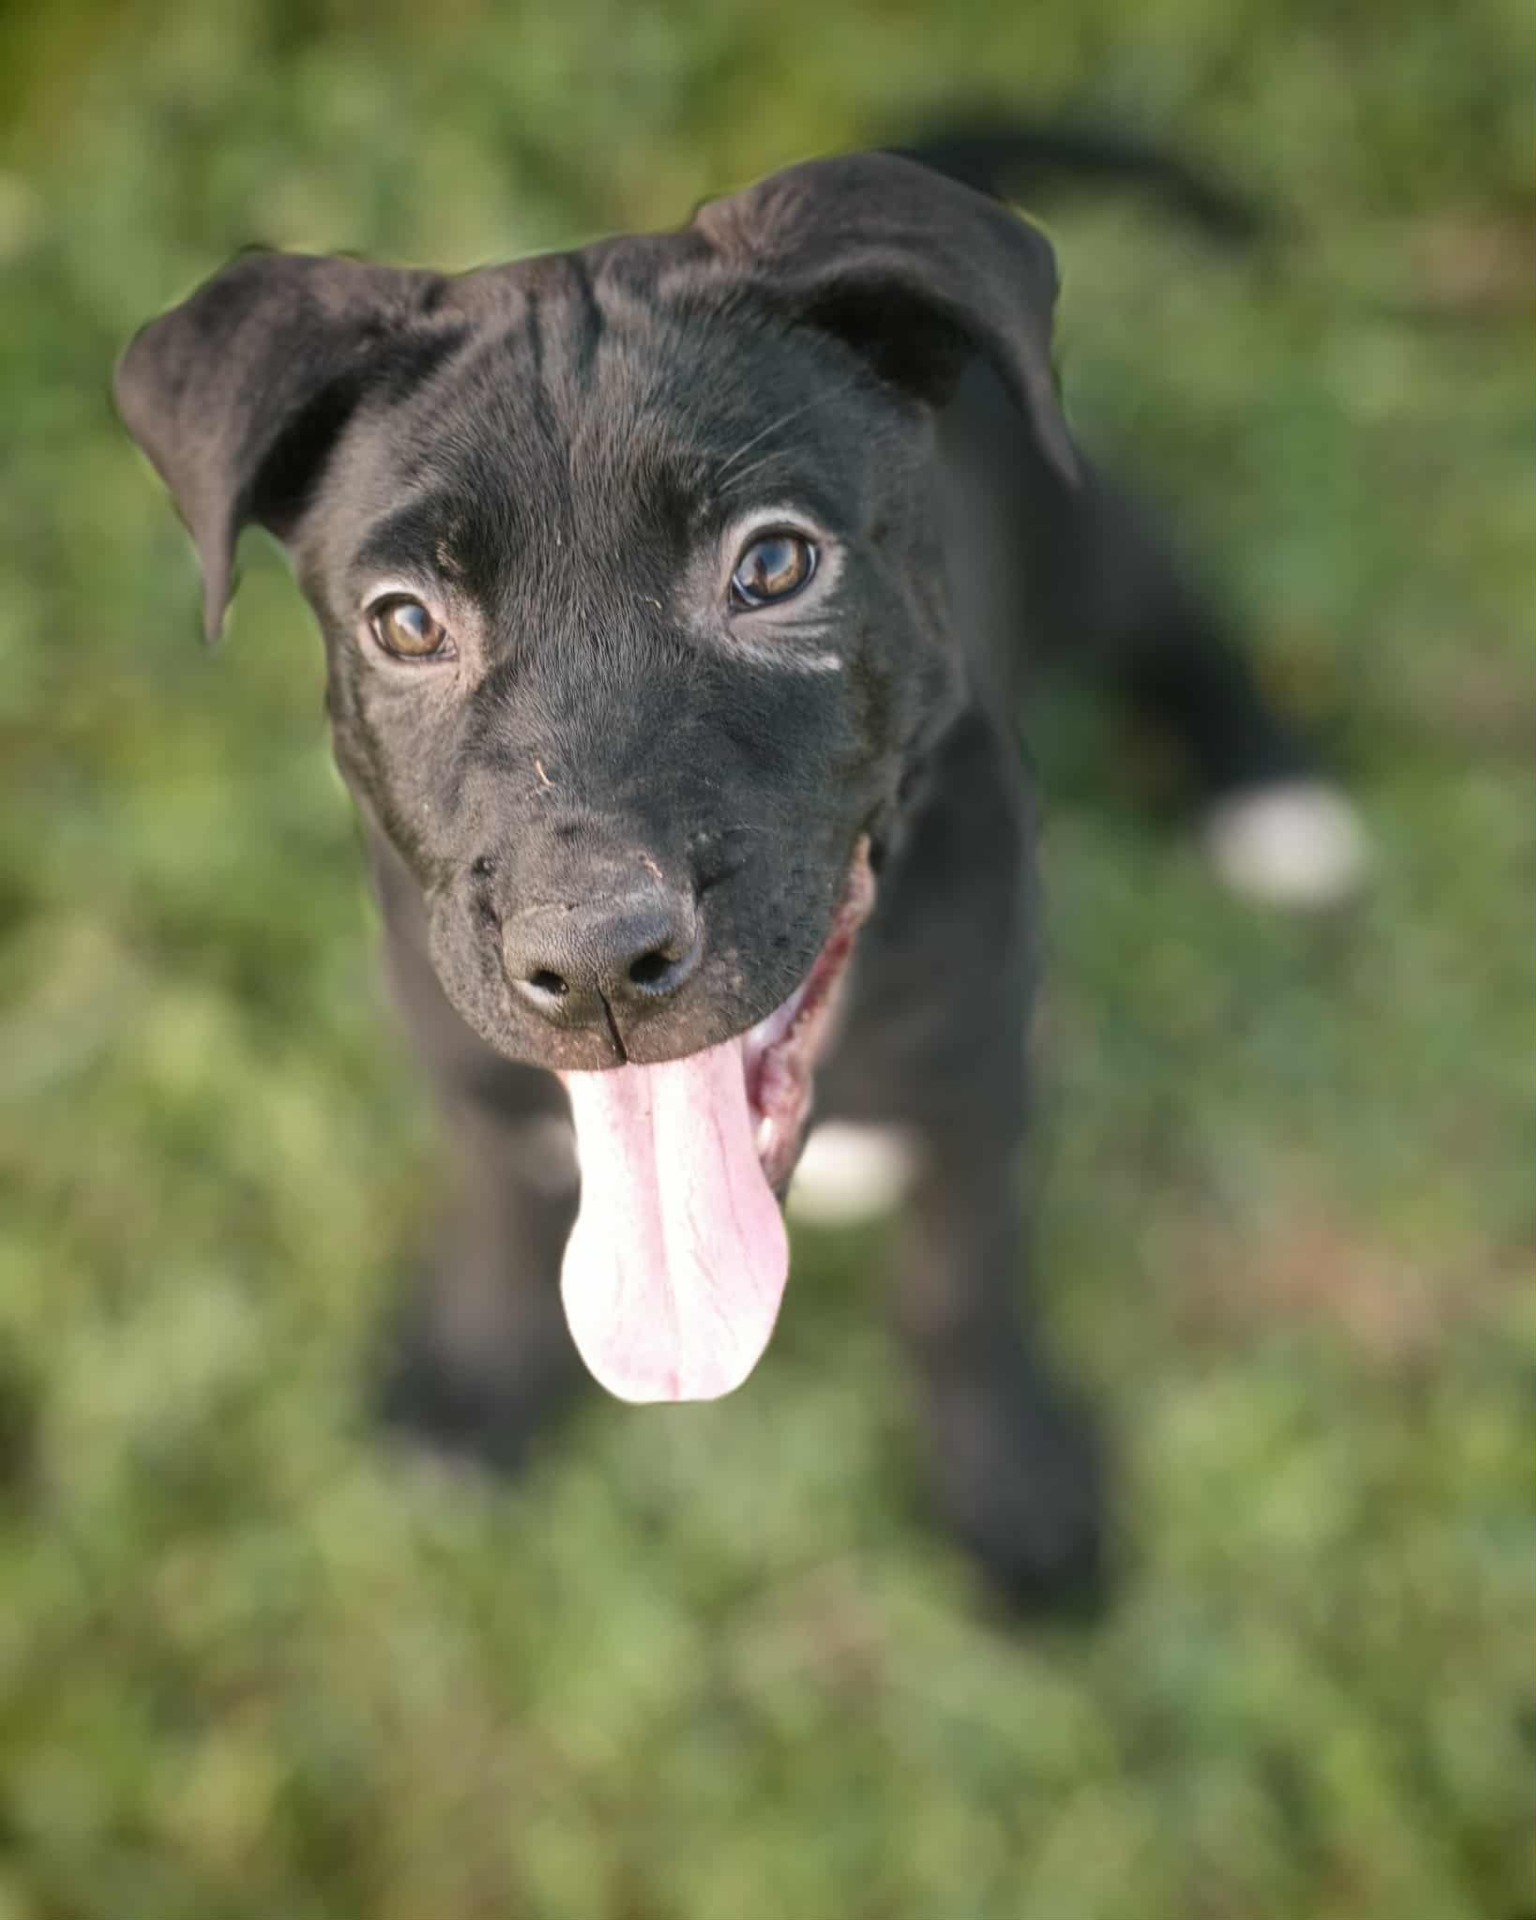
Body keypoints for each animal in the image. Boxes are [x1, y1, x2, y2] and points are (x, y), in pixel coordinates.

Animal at [115, 147, 1363, 1611]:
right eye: (406, 623)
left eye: (774, 565)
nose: (597, 960)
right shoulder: (464, 1066)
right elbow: (496, 1214)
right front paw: (477, 1386)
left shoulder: (986, 1082)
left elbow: (960, 1288)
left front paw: (1010, 1482)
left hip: (1082, 537)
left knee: (1172, 601)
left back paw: (1268, 793)